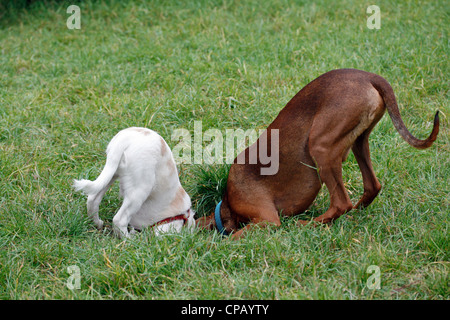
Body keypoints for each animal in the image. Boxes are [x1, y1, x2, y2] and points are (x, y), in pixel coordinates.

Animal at [197, 69, 440, 239]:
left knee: (342, 203)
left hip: (320, 146)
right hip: (358, 142)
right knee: (371, 187)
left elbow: (230, 239)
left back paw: (309, 224)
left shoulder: (268, 220)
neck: (227, 204)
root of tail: (369, 76)